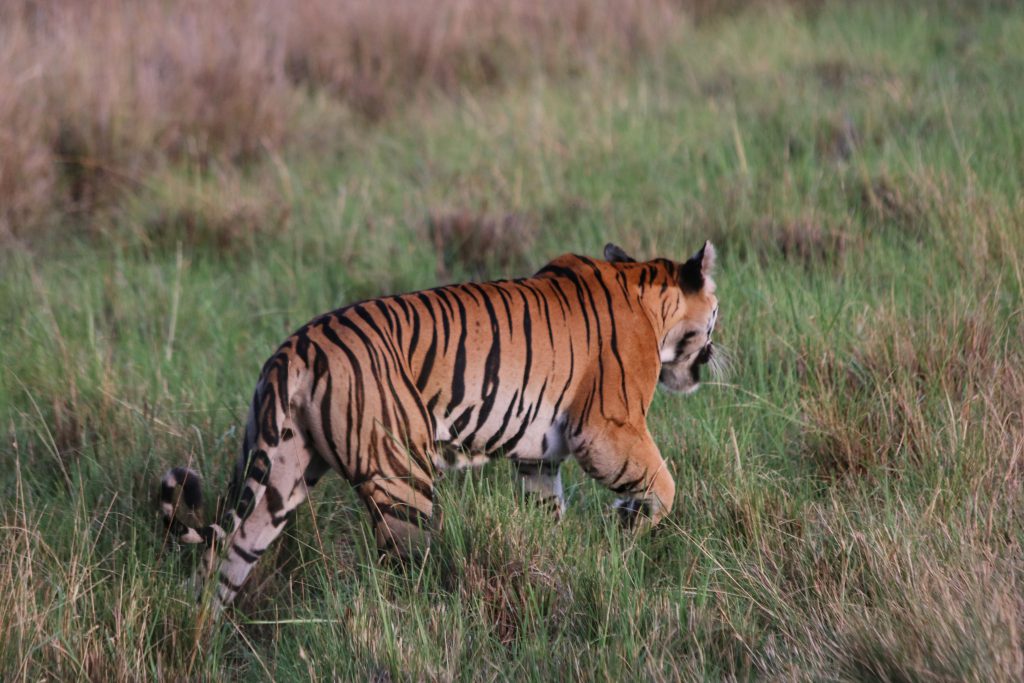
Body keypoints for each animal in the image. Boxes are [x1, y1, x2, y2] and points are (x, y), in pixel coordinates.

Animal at [159, 240, 720, 610]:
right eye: (716, 311)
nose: (717, 349)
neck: (648, 294)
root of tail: (293, 350)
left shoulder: (539, 454)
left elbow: (548, 512)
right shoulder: (607, 427)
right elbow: (664, 485)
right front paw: (628, 524)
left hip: (281, 475)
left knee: (223, 561)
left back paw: (195, 635)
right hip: (400, 477)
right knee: (405, 571)